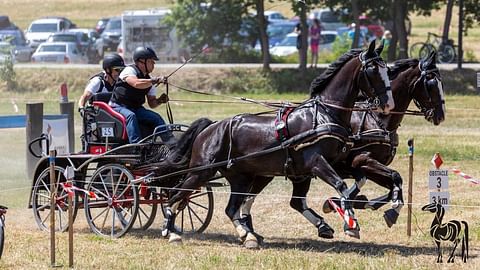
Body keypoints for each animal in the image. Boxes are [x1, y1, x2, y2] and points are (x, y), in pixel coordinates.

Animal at [159, 41, 392, 248]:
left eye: (387, 70)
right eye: (373, 70)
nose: (388, 104)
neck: (324, 114)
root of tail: (211, 127)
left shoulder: (331, 164)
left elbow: (357, 180)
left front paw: (338, 211)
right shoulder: (316, 162)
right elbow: (341, 185)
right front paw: (351, 224)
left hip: (241, 177)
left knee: (230, 208)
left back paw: (248, 235)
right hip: (201, 172)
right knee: (175, 196)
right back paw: (171, 232)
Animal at [240, 50, 446, 240]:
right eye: (431, 83)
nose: (440, 115)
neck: (377, 118)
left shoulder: (362, 166)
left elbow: (393, 183)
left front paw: (366, 205)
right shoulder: (360, 161)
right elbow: (389, 178)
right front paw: (343, 206)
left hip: (282, 171)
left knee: (281, 200)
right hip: (270, 170)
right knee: (251, 197)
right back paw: (247, 229)